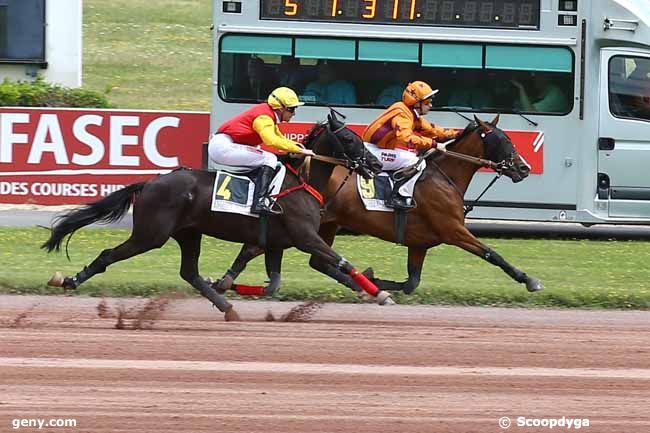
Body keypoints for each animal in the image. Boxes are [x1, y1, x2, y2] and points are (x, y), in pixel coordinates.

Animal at [41, 113, 384, 318]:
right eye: (350, 139)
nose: (376, 164)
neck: (301, 182)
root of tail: (150, 182)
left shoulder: (276, 242)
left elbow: (271, 282)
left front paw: (223, 284)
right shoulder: (305, 237)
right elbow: (341, 261)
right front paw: (379, 293)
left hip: (188, 233)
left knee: (189, 272)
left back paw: (226, 306)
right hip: (151, 234)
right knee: (108, 255)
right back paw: (70, 280)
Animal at [216, 114, 540, 296]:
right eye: (504, 140)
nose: (523, 168)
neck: (443, 176)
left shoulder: (420, 243)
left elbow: (411, 282)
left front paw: (375, 279)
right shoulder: (453, 230)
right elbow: (492, 253)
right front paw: (529, 279)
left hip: (327, 224)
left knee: (311, 260)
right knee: (260, 249)